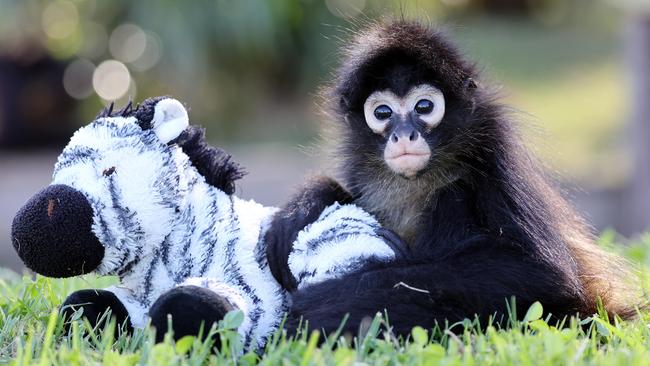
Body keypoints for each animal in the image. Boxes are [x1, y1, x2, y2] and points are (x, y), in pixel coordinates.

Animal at [266, 19, 640, 334]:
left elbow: (541, 273)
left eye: (424, 107)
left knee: (452, 192)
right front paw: (307, 202)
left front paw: (324, 302)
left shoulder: (494, 149)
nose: (404, 135)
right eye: (383, 112)